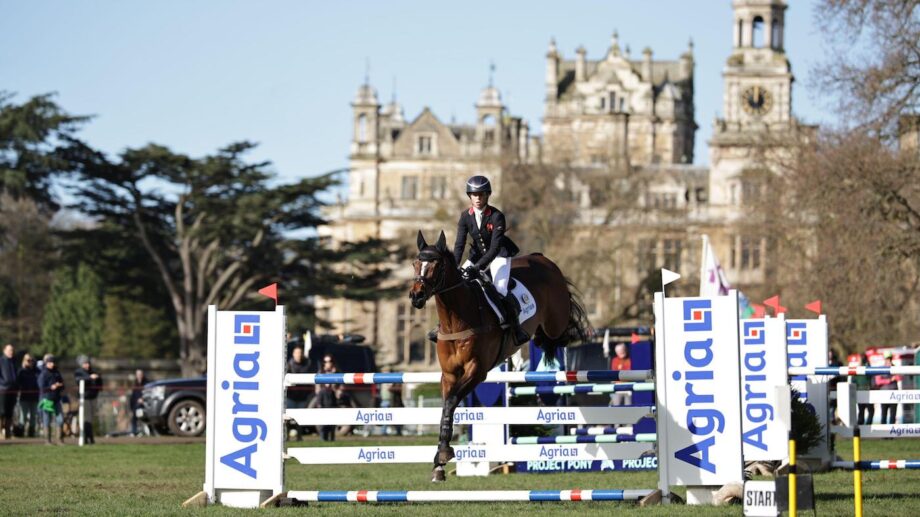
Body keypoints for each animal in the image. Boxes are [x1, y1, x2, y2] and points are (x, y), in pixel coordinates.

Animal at [410, 230, 588, 480]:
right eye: (415, 264)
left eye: (436, 265)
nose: (416, 296)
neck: (456, 319)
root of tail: (542, 259)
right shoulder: (449, 374)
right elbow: (447, 406)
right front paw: (439, 463)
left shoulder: (477, 371)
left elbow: (453, 401)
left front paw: (444, 454)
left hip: (556, 319)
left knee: (560, 330)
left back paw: (549, 339)